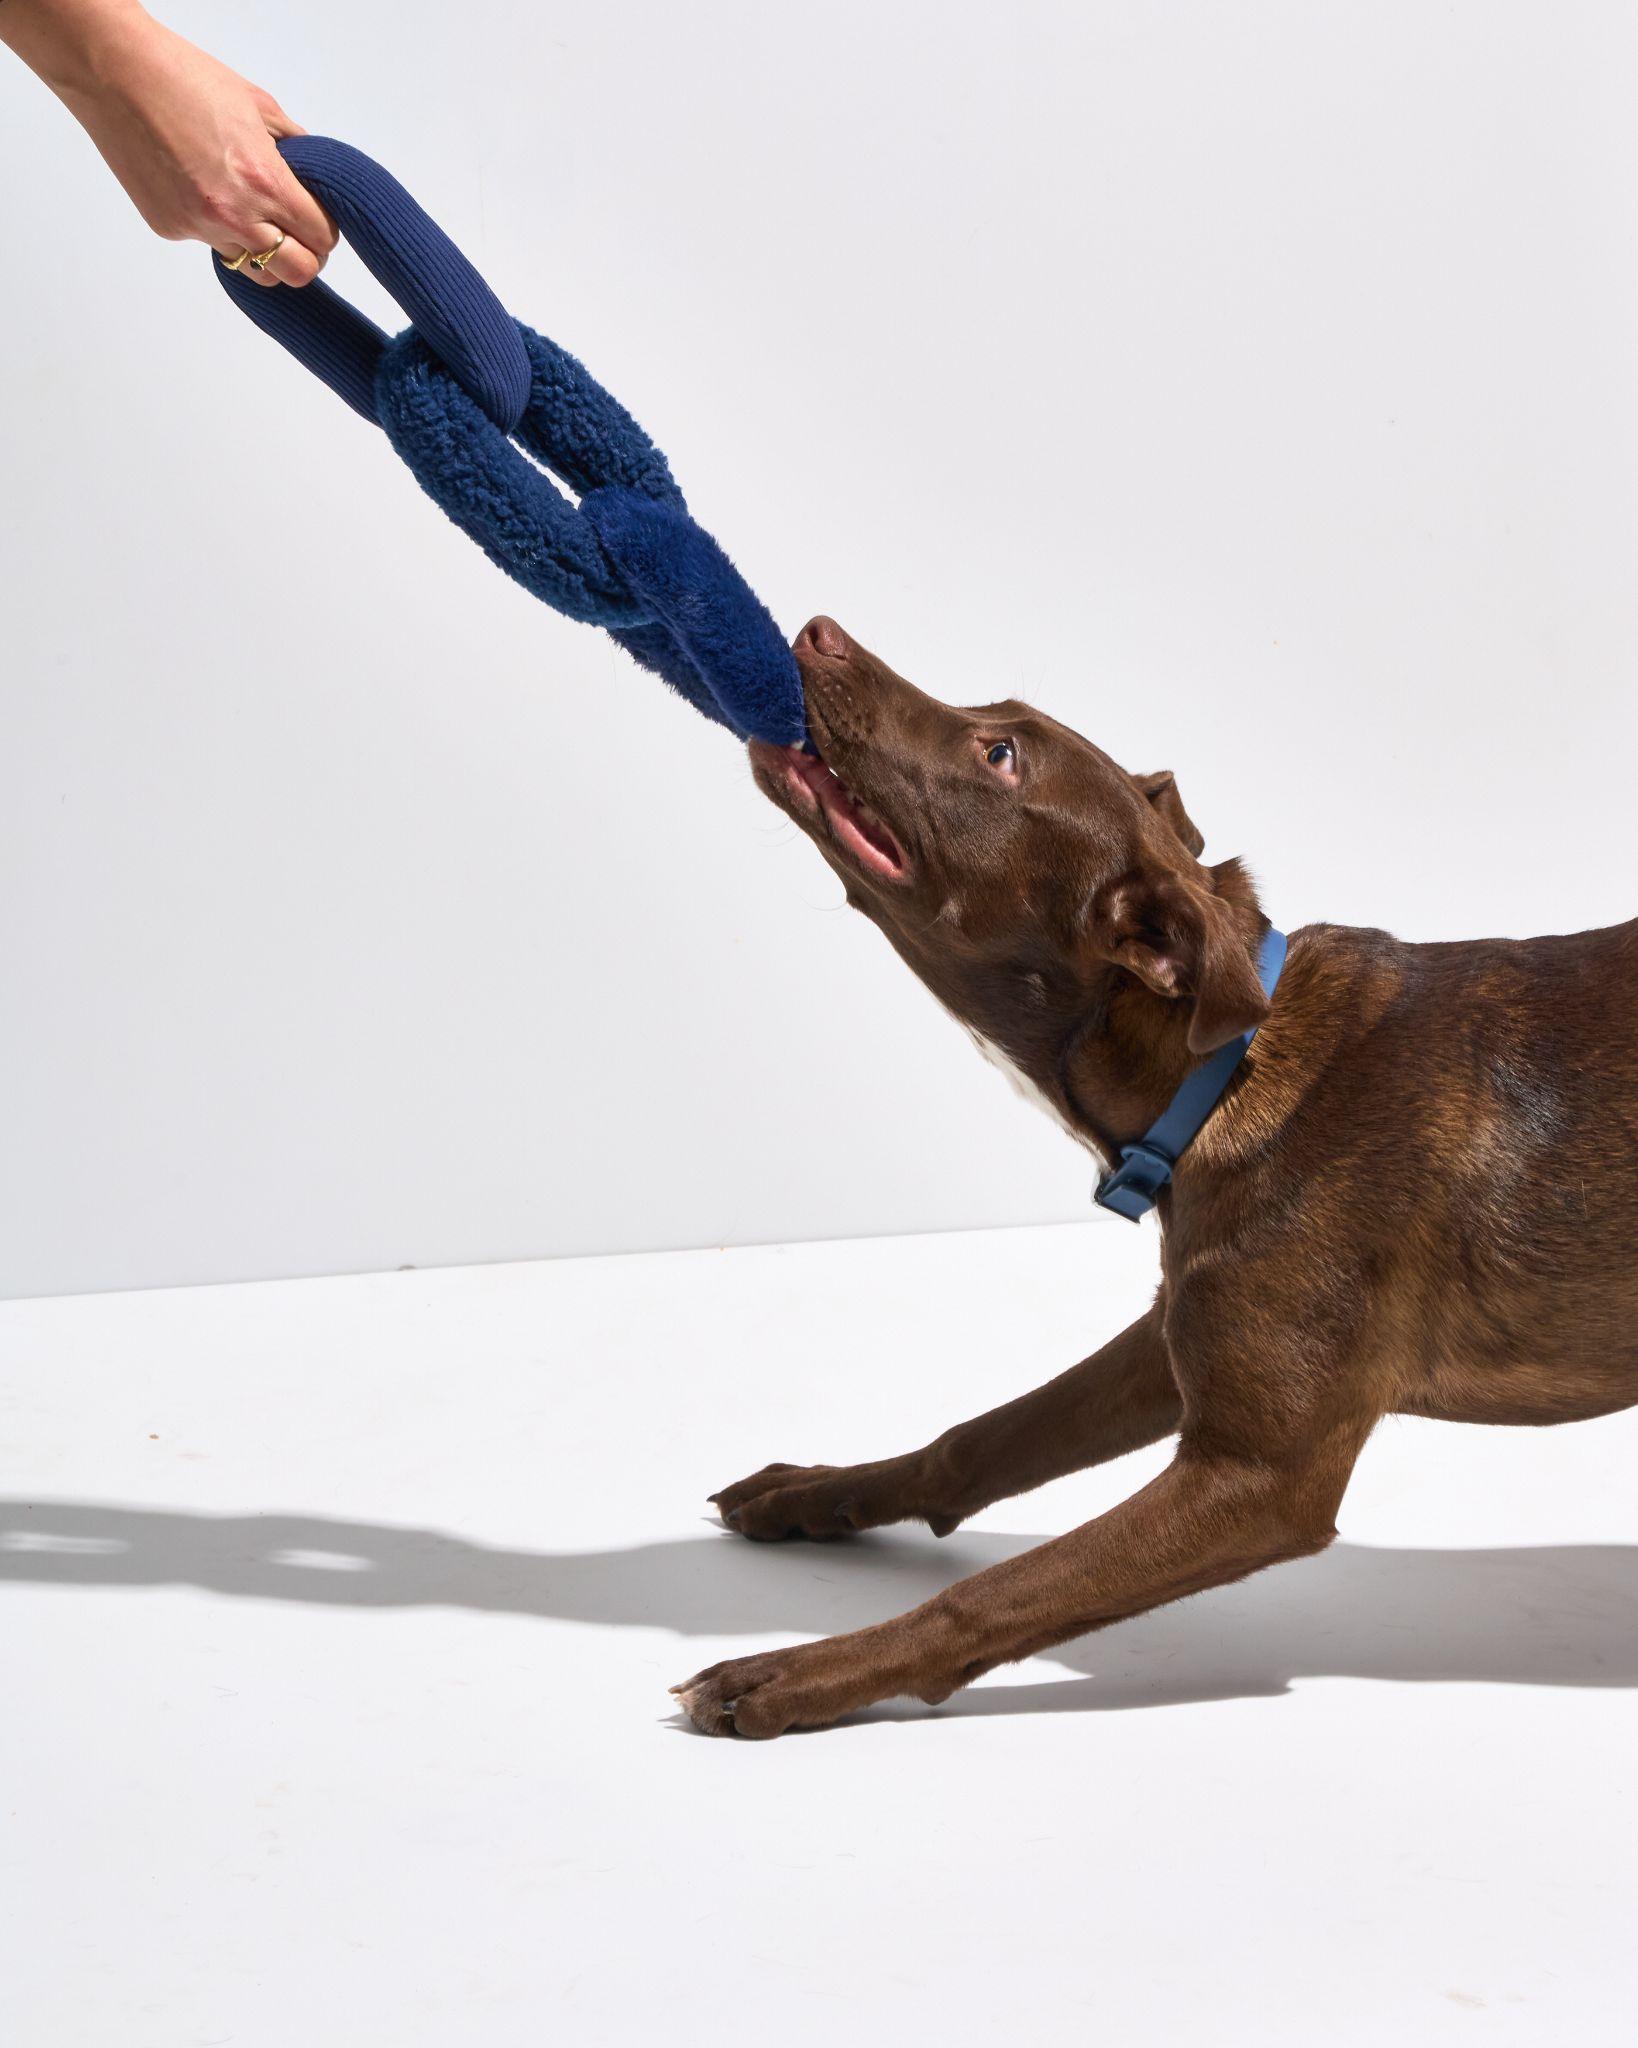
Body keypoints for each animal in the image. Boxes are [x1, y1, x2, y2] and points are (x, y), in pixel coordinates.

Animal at [670, 615, 1638, 1737]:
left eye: (1001, 755)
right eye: (999, 725)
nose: (817, 630)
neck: (1221, 1071)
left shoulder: (1258, 1477)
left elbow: (986, 1596)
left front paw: (795, 1674)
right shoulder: (1174, 1336)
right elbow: (978, 1441)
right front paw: (815, 1494)